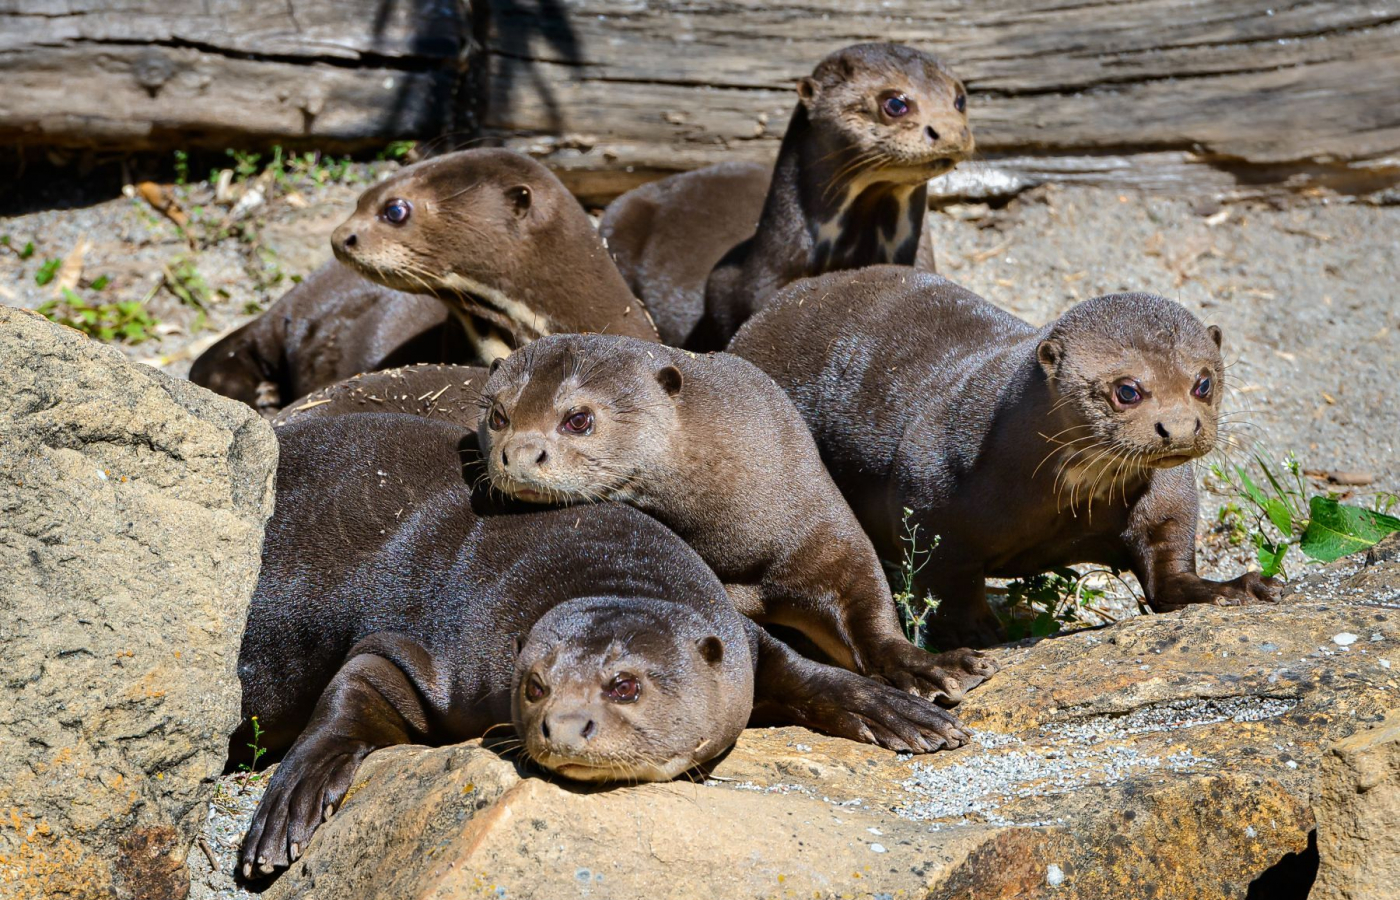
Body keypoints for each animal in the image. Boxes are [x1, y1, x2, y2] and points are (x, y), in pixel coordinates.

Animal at [235, 414, 968, 879]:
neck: (599, 565)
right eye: (535, 685)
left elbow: (811, 675)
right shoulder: (431, 647)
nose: (563, 725)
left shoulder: (741, 639)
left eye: (625, 685)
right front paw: (291, 801)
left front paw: (905, 712)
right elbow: (357, 682)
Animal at [476, 335, 1002, 705]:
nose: (518, 454)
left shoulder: (821, 521)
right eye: (499, 415)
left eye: (578, 419)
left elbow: (869, 606)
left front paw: (934, 667)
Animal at [728, 265, 1282, 646]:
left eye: (1203, 382)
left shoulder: (1166, 494)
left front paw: (1236, 587)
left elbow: (1169, 564)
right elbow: (947, 586)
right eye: (1128, 390)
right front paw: (981, 637)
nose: (1181, 428)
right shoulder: (929, 496)